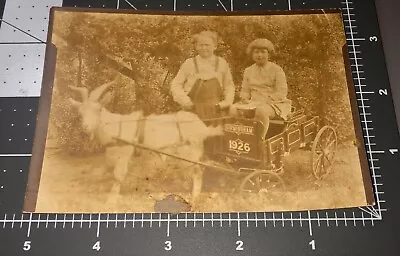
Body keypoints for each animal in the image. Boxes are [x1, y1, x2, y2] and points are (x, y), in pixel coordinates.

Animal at [67, 77, 223, 209]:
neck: (115, 126)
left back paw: (194, 199)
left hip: (191, 151)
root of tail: (203, 127)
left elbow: (118, 175)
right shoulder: (110, 155)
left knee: (198, 172)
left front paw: (110, 200)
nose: (86, 127)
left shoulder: (124, 154)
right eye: (80, 111)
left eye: (98, 110)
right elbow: (98, 172)